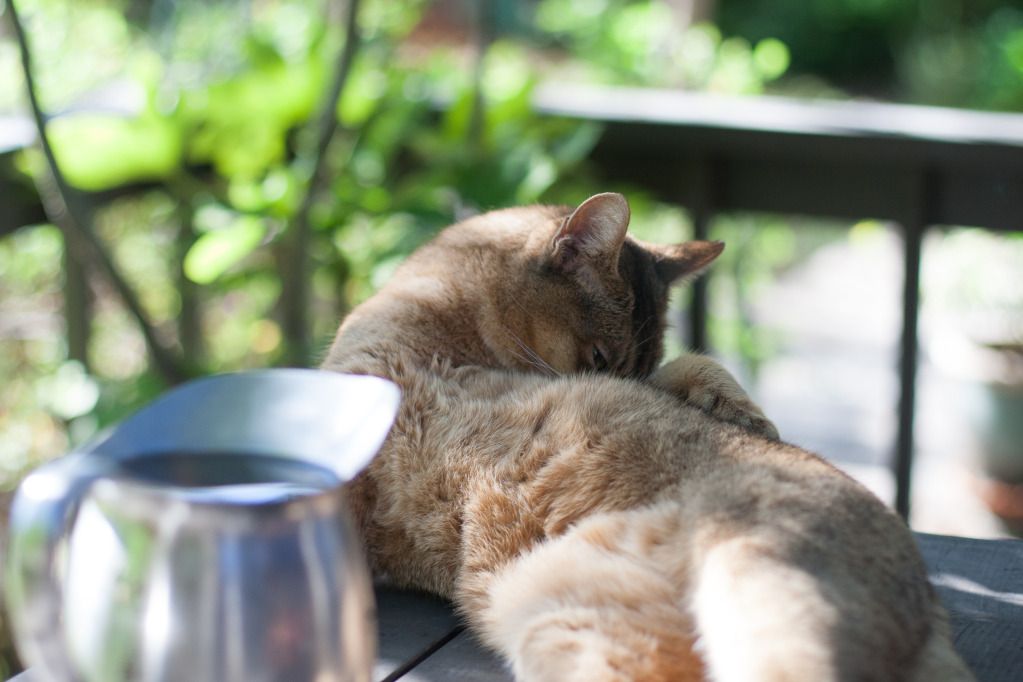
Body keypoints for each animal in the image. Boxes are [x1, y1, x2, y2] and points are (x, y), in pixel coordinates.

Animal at [321, 193, 973, 682]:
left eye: (626, 365)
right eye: (601, 358)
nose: (618, 380)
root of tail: (932, 624)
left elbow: (692, 366)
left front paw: (740, 411)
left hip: (766, 589)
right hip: (577, 621)